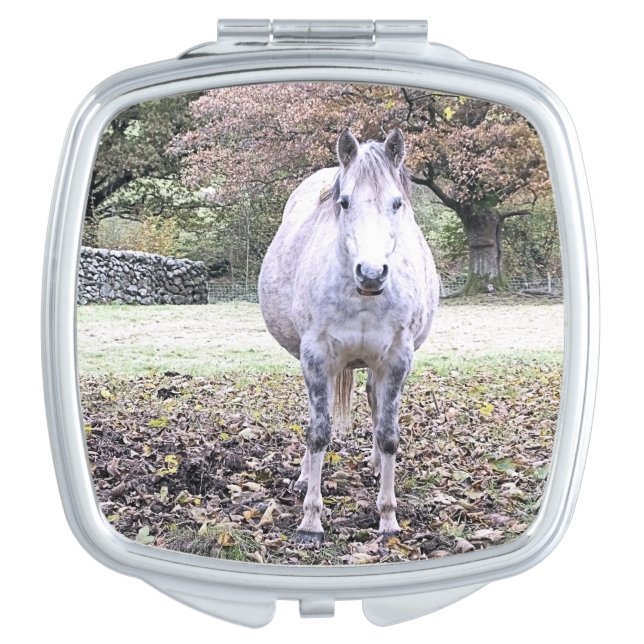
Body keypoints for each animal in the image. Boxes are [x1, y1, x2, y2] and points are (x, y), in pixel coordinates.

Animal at [258, 128, 439, 543]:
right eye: (344, 202)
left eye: (397, 203)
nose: (371, 274)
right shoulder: (316, 357)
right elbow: (318, 432)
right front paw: (310, 521)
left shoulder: (397, 359)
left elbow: (389, 434)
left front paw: (388, 519)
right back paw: (304, 476)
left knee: (374, 402)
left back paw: (374, 465)